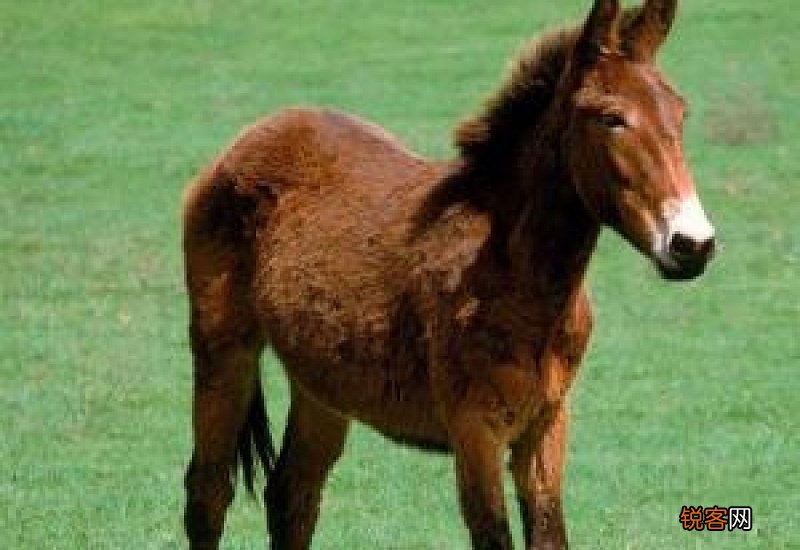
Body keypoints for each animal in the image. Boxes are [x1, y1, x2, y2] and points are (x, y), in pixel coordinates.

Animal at [181, 0, 715, 548]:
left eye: (681, 113)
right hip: (223, 350)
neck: (517, 279)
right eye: (612, 118)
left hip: (320, 381)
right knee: (208, 495)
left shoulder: (545, 426)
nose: (692, 244)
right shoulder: (475, 432)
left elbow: (550, 534)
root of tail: (255, 135)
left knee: (292, 496)